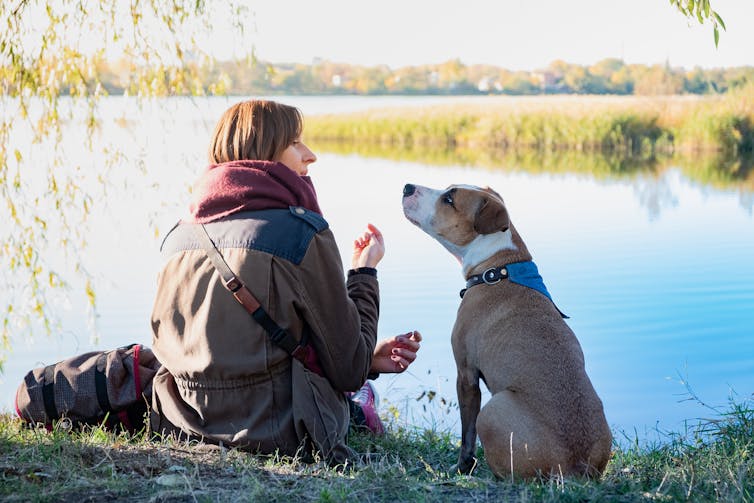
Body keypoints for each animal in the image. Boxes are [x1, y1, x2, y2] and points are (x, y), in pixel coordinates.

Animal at [400, 184, 612, 480]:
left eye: (449, 198)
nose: (407, 186)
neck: (496, 268)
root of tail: (575, 468)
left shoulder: (466, 374)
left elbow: (466, 435)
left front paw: (462, 468)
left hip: (493, 409)